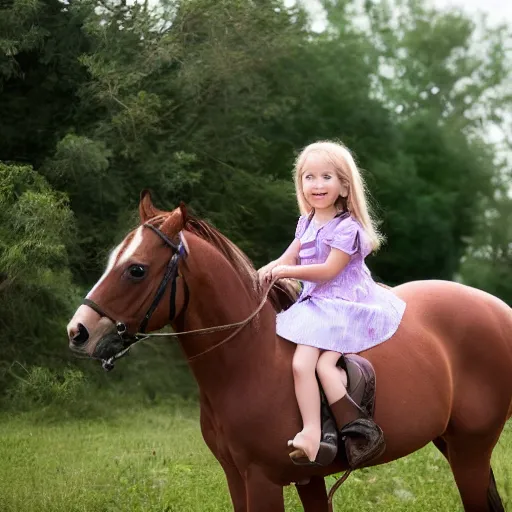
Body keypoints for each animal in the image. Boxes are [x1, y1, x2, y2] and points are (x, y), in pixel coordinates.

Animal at [68, 193, 512, 512]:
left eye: (136, 269)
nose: (79, 331)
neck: (250, 361)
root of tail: (499, 309)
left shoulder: (263, 479)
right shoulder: (254, 477)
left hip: (471, 450)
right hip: (451, 443)